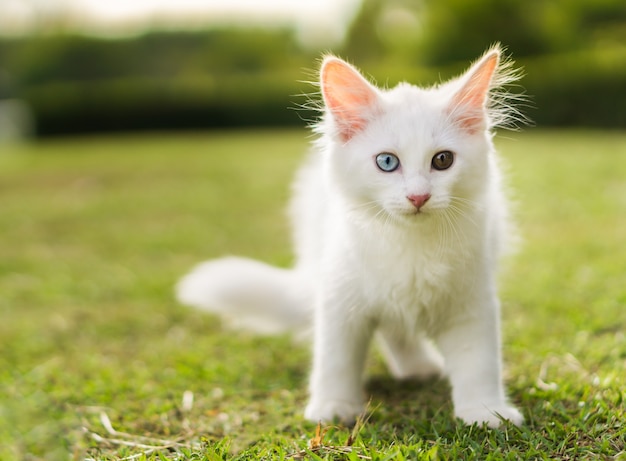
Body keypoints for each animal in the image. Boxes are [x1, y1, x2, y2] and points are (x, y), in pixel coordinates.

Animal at [178, 44, 524, 428]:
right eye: (387, 162)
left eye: (443, 160)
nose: (418, 197)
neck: (411, 246)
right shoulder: (340, 295)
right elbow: (336, 359)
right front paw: (333, 407)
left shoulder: (472, 301)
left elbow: (478, 363)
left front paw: (485, 411)